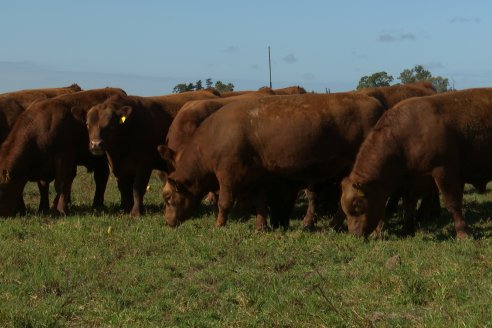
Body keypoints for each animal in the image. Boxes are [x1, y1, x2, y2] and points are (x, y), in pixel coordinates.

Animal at [0, 87, 125, 217]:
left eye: (0, 188)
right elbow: (43, 186)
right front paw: (43, 208)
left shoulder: (64, 158)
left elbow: (61, 184)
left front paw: (61, 210)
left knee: (102, 177)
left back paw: (97, 205)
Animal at [79, 89, 219, 218]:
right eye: (87, 124)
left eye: (110, 125)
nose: (95, 144)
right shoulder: (120, 167)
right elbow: (124, 188)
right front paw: (125, 208)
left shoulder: (144, 165)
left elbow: (138, 189)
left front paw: (135, 212)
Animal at [342, 88, 492, 240]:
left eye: (356, 204)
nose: (354, 234)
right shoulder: (411, 180)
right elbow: (408, 205)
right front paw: (407, 230)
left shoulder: (444, 172)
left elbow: (452, 203)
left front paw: (463, 232)